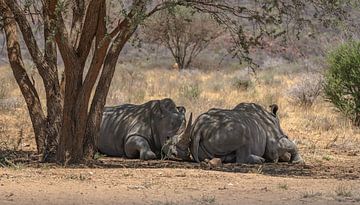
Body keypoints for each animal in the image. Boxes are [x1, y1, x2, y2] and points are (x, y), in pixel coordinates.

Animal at [163, 103, 304, 164]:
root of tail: (199, 129)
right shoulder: (275, 143)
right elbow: (289, 145)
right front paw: (298, 161)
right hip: (233, 129)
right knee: (244, 140)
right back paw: (260, 160)